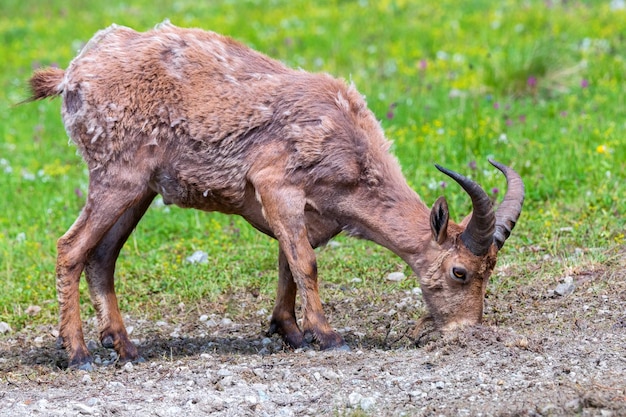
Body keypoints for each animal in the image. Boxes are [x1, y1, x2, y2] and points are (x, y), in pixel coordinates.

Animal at [26, 22, 520, 368]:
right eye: (460, 271)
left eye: (490, 270)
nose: (466, 331)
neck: (352, 149)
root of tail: (71, 76)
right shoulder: (276, 183)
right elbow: (305, 261)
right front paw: (328, 336)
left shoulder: (304, 210)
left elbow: (288, 260)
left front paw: (290, 331)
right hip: (116, 178)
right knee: (70, 248)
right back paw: (78, 354)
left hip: (139, 191)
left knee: (102, 256)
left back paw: (125, 346)